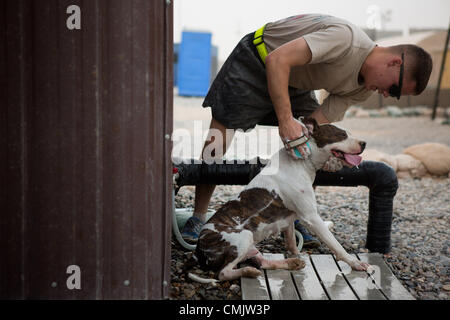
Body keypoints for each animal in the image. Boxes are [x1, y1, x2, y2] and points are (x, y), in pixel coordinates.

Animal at [185, 117, 370, 282]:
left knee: (262, 262)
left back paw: (291, 263)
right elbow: (336, 245)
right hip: (243, 237)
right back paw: (248, 271)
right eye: (341, 135)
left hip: (251, 244)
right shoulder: (312, 218)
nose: (364, 143)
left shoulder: (289, 220)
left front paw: (296, 255)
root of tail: (199, 248)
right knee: (223, 273)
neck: (303, 162)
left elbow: (292, 243)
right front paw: (355, 263)